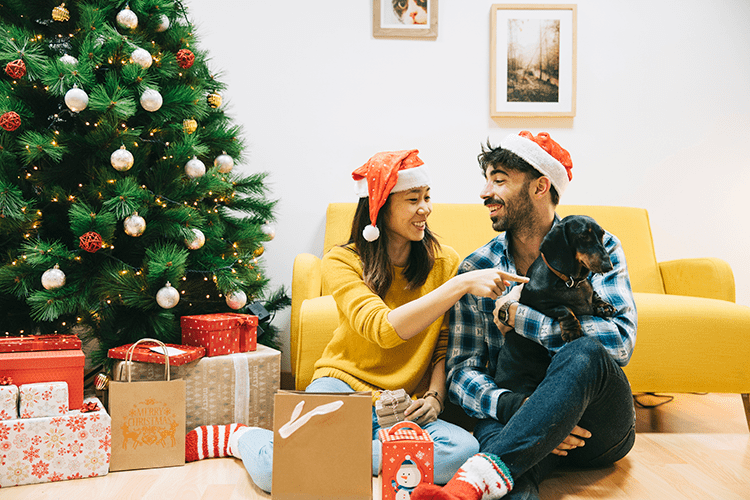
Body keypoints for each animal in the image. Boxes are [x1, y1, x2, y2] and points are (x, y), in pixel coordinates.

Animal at [520, 216, 620, 344]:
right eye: (583, 236)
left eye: (602, 234)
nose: (609, 266)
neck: (571, 282)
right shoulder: (539, 304)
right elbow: (564, 308)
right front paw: (572, 330)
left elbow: (595, 295)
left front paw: (603, 306)